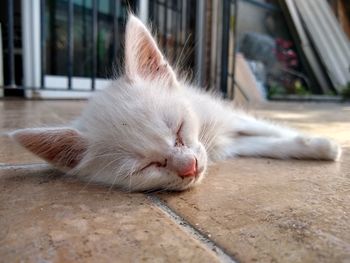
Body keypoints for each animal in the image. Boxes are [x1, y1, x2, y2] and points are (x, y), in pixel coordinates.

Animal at [10, 15, 340, 192]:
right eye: (146, 166)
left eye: (179, 130)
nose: (190, 167)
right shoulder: (224, 144)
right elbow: (269, 145)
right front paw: (316, 147)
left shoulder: (224, 117)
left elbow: (272, 131)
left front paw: (324, 144)